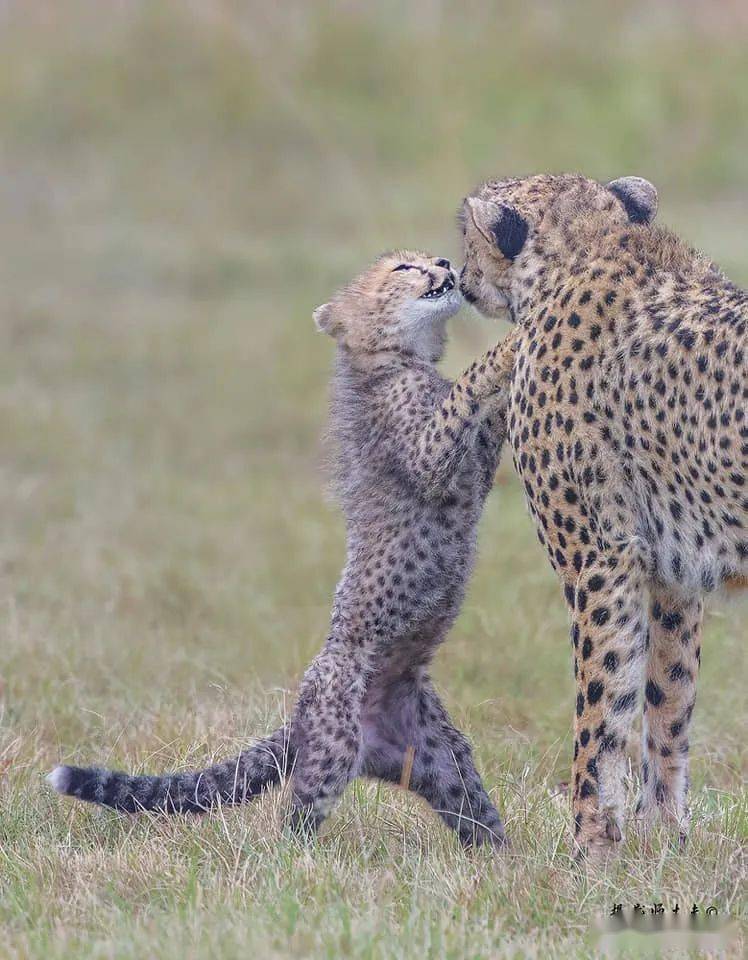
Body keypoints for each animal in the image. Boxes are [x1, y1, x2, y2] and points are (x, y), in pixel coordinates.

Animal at [458, 176, 744, 860]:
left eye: (466, 233)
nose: (457, 274)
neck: (589, 241)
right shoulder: (672, 572)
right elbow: (668, 698)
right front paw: (662, 835)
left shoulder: (599, 558)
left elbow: (603, 703)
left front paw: (589, 846)